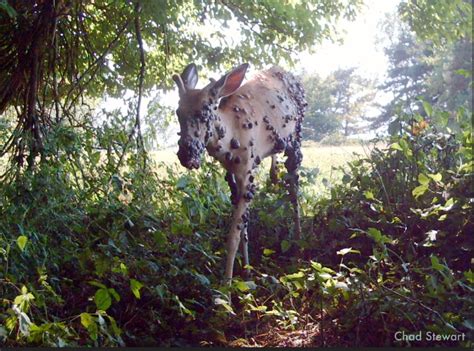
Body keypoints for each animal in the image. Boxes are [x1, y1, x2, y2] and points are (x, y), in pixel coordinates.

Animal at [172, 64, 306, 284]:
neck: (231, 136)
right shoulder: (233, 175)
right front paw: (247, 269)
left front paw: (226, 284)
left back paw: (299, 240)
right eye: (178, 112)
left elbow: (233, 236)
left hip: (296, 139)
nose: (186, 155)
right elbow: (244, 226)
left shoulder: (247, 171)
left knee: (294, 189)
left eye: (205, 112)